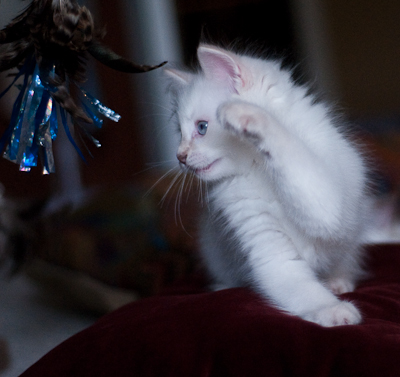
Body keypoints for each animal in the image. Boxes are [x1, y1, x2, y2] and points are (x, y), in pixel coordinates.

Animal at [164, 44, 370, 326]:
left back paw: (338, 281)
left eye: (202, 128)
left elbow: (289, 149)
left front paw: (244, 114)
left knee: (347, 264)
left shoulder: (330, 203)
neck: (260, 171)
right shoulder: (270, 249)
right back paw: (224, 286)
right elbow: (300, 288)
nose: (179, 156)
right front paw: (331, 309)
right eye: (179, 133)